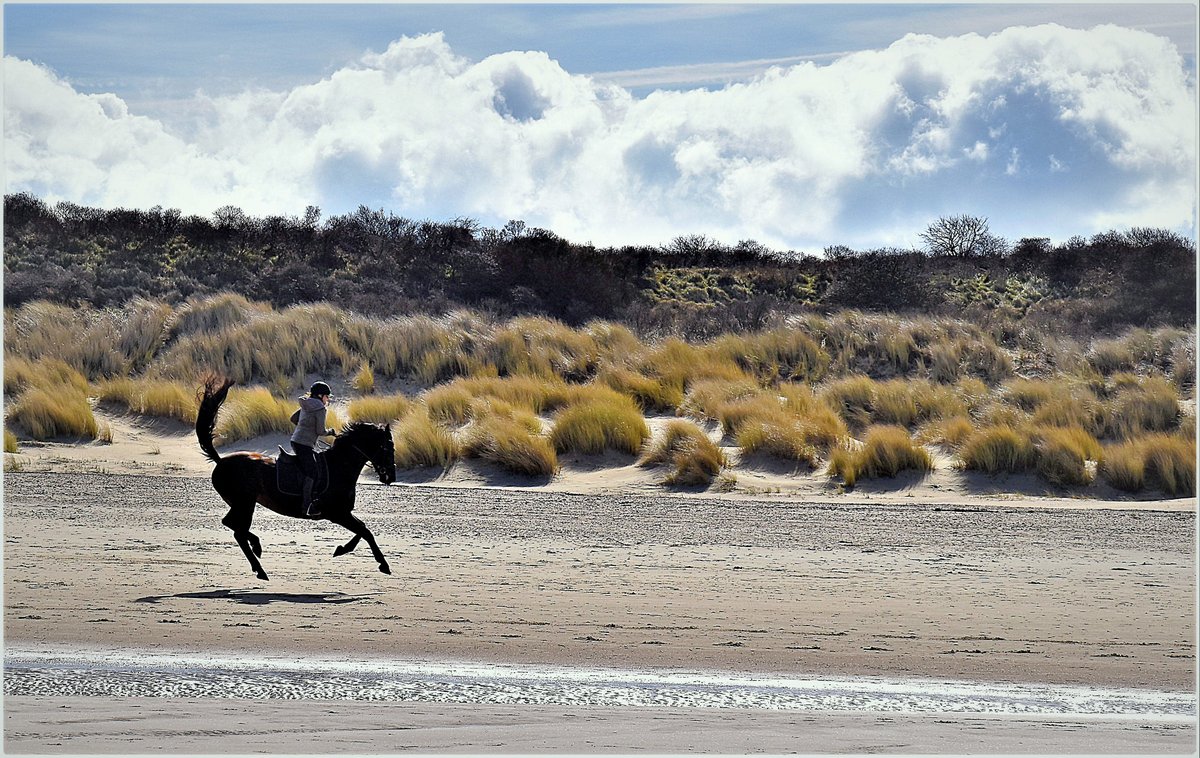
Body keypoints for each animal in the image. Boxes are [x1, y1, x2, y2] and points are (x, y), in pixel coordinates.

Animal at [196, 376, 398, 580]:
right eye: (387, 447)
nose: (391, 476)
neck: (340, 465)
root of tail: (221, 461)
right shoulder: (338, 514)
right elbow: (365, 532)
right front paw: (383, 565)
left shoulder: (343, 513)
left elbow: (362, 529)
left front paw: (341, 549)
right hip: (244, 503)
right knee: (238, 530)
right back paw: (259, 563)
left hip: (241, 503)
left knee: (232, 526)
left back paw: (257, 552)